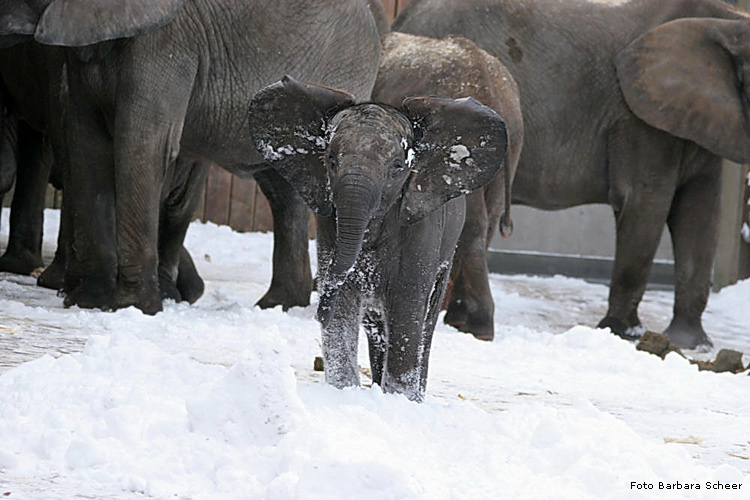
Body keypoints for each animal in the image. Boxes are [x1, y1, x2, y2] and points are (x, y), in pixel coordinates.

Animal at [0, 0, 382, 312]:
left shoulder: (167, 42)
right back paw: (278, 305)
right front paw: (89, 302)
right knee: (282, 189)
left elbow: (143, 142)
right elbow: (83, 142)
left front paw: (133, 308)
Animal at [250, 75, 508, 402]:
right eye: (330, 160)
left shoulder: (421, 227)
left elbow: (408, 304)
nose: (318, 312)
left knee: (425, 321)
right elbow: (344, 302)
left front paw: (400, 399)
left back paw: (415, 395)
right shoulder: (329, 222)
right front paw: (344, 392)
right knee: (376, 325)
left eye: (398, 167)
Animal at [374, 33, 524, 342]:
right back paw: (466, 320)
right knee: (487, 222)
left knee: (474, 224)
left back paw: (475, 325)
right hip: (506, 150)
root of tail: (491, 90)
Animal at [396, 0, 750, 350]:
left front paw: (693, 344)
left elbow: (700, 214)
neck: (729, 21)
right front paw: (623, 333)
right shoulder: (637, 117)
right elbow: (645, 201)